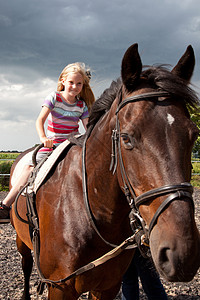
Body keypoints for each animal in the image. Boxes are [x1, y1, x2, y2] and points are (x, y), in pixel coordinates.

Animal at [10, 43, 200, 298]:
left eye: (193, 135)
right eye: (126, 138)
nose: (181, 254)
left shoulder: (108, 285)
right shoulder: (60, 287)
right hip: (22, 242)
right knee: (26, 265)